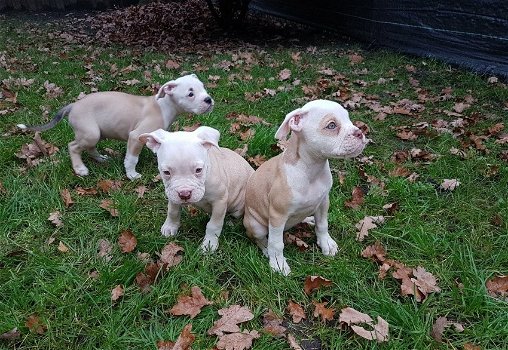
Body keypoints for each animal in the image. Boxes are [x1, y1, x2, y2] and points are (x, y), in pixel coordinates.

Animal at [17, 73, 212, 179]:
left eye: (203, 88)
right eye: (190, 94)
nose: (209, 100)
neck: (165, 106)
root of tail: (72, 105)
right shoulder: (135, 136)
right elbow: (131, 159)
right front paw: (131, 174)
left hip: (96, 133)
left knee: (89, 148)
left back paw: (101, 159)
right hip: (90, 133)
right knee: (73, 146)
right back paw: (80, 168)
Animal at [243, 100, 368, 274]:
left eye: (349, 119)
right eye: (331, 125)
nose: (360, 132)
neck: (312, 169)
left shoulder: (323, 202)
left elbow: (323, 225)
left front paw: (326, 243)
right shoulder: (277, 215)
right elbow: (276, 243)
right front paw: (278, 263)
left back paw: (308, 219)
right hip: (255, 225)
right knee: (259, 238)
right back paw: (266, 250)